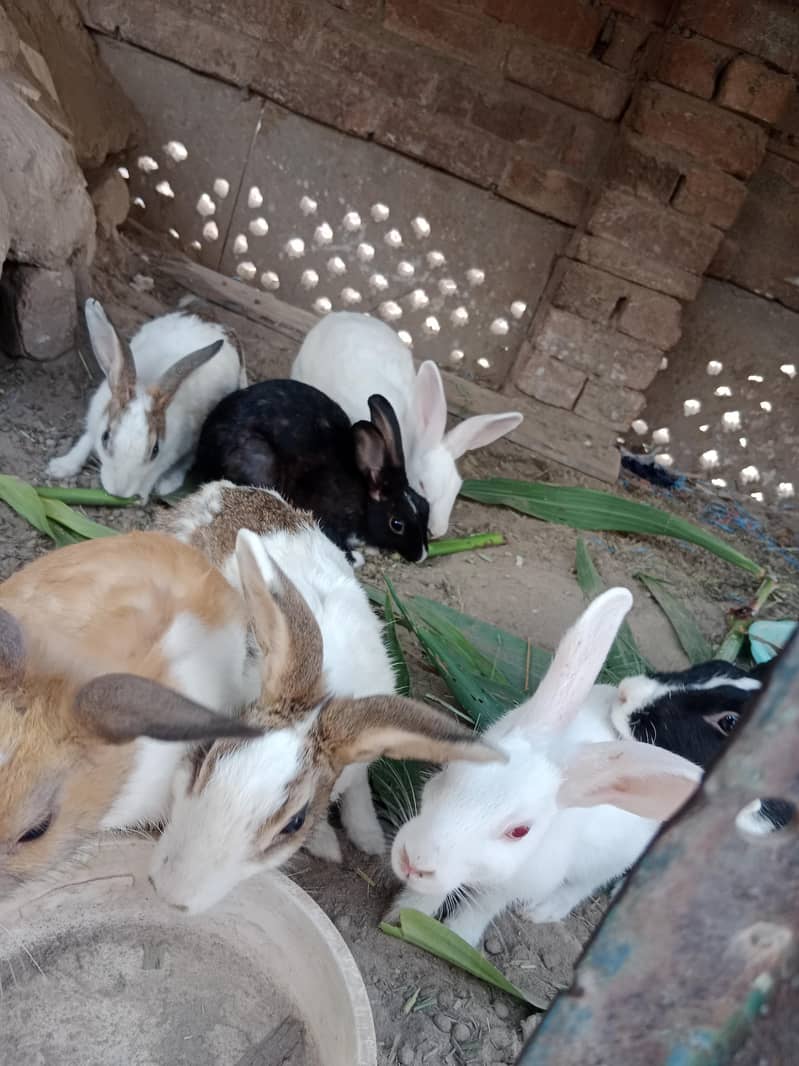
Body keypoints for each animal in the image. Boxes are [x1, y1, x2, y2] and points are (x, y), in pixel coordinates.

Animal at [47, 298, 246, 501]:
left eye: (155, 450)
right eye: (105, 437)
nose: (119, 492)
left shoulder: (169, 453)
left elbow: (156, 470)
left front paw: (142, 495)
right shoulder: (97, 419)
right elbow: (86, 440)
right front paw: (59, 467)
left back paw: (168, 484)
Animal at [149, 525, 502, 914]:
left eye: (294, 823)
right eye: (204, 758)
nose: (169, 893)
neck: (325, 701)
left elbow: (358, 788)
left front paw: (367, 837)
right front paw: (329, 845)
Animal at [191, 378, 429, 564]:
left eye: (426, 506)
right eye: (396, 524)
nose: (422, 555)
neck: (364, 496)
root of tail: (202, 450)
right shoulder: (325, 515)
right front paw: (355, 558)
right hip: (258, 463)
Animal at [388, 588, 702, 946]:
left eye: (519, 831)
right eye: (447, 771)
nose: (415, 860)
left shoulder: (515, 884)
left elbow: (481, 908)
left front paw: (457, 937)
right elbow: (429, 895)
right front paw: (402, 915)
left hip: (609, 860)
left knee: (583, 885)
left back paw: (543, 912)